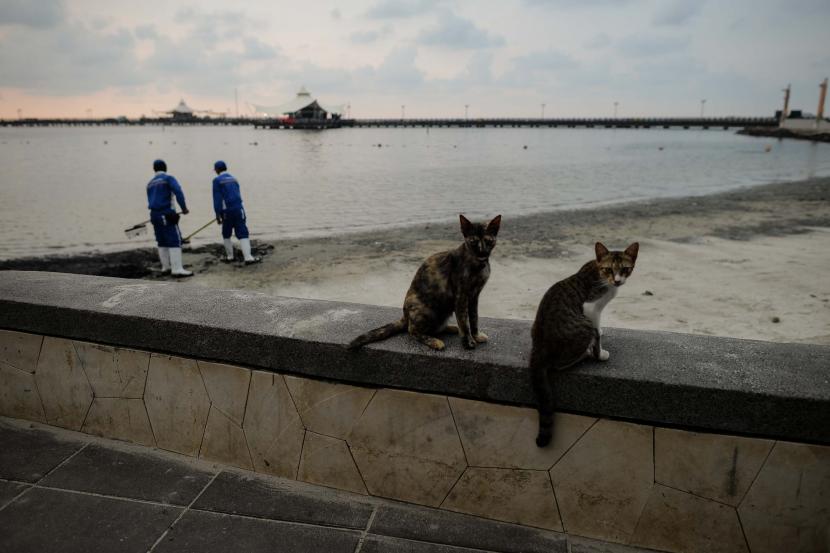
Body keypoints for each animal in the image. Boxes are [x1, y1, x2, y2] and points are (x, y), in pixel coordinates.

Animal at [348, 215, 504, 350]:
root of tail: (405, 316)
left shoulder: (474, 296)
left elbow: (473, 318)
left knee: (435, 328)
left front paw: (476, 336)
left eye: (488, 240)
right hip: (428, 310)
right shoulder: (461, 296)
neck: (479, 264)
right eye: (473, 241)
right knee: (413, 331)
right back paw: (435, 341)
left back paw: (451, 328)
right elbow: (464, 322)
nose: (482, 252)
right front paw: (468, 342)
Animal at [528, 242, 640, 444]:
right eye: (608, 269)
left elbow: (599, 326)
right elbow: (596, 331)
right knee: (559, 364)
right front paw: (599, 353)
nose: (617, 281)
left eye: (625, 269)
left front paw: (601, 331)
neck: (599, 273)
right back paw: (585, 354)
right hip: (582, 326)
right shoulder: (590, 307)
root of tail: (539, 347)